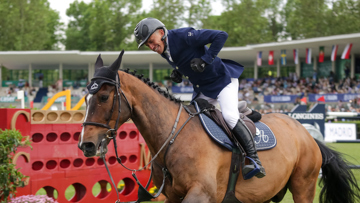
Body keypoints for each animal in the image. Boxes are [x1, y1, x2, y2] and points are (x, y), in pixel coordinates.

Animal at [79, 51, 360, 203]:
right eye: (86, 98)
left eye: (103, 97)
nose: (86, 144)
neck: (173, 137)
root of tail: (307, 135)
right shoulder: (172, 196)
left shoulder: (201, 194)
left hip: (303, 185)